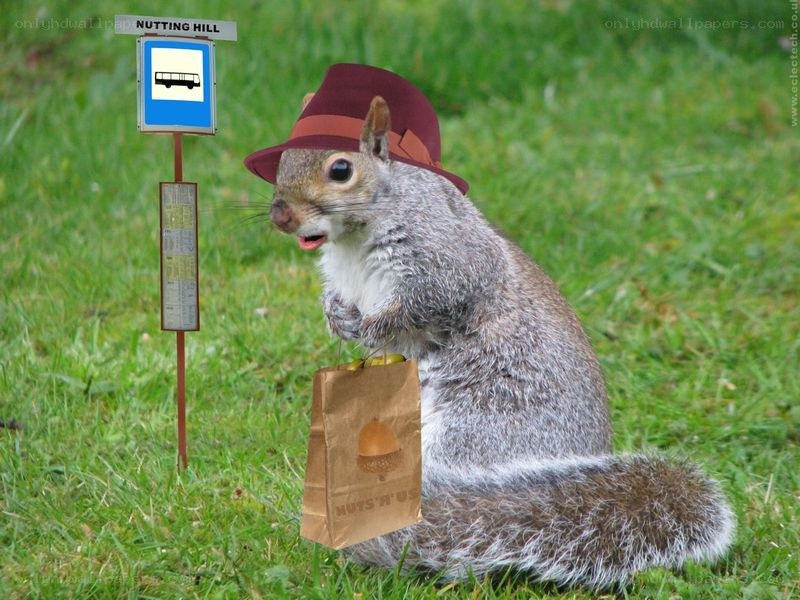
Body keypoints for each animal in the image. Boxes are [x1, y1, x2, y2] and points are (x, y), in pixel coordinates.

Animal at [267, 95, 735, 588]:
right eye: (282, 161)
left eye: (340, 170)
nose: (280, 215)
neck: (353, 239)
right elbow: (337, 300)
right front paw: (337, 317)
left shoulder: (447, 260)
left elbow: (429, 301)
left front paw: (374, 327)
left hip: (478, 430)